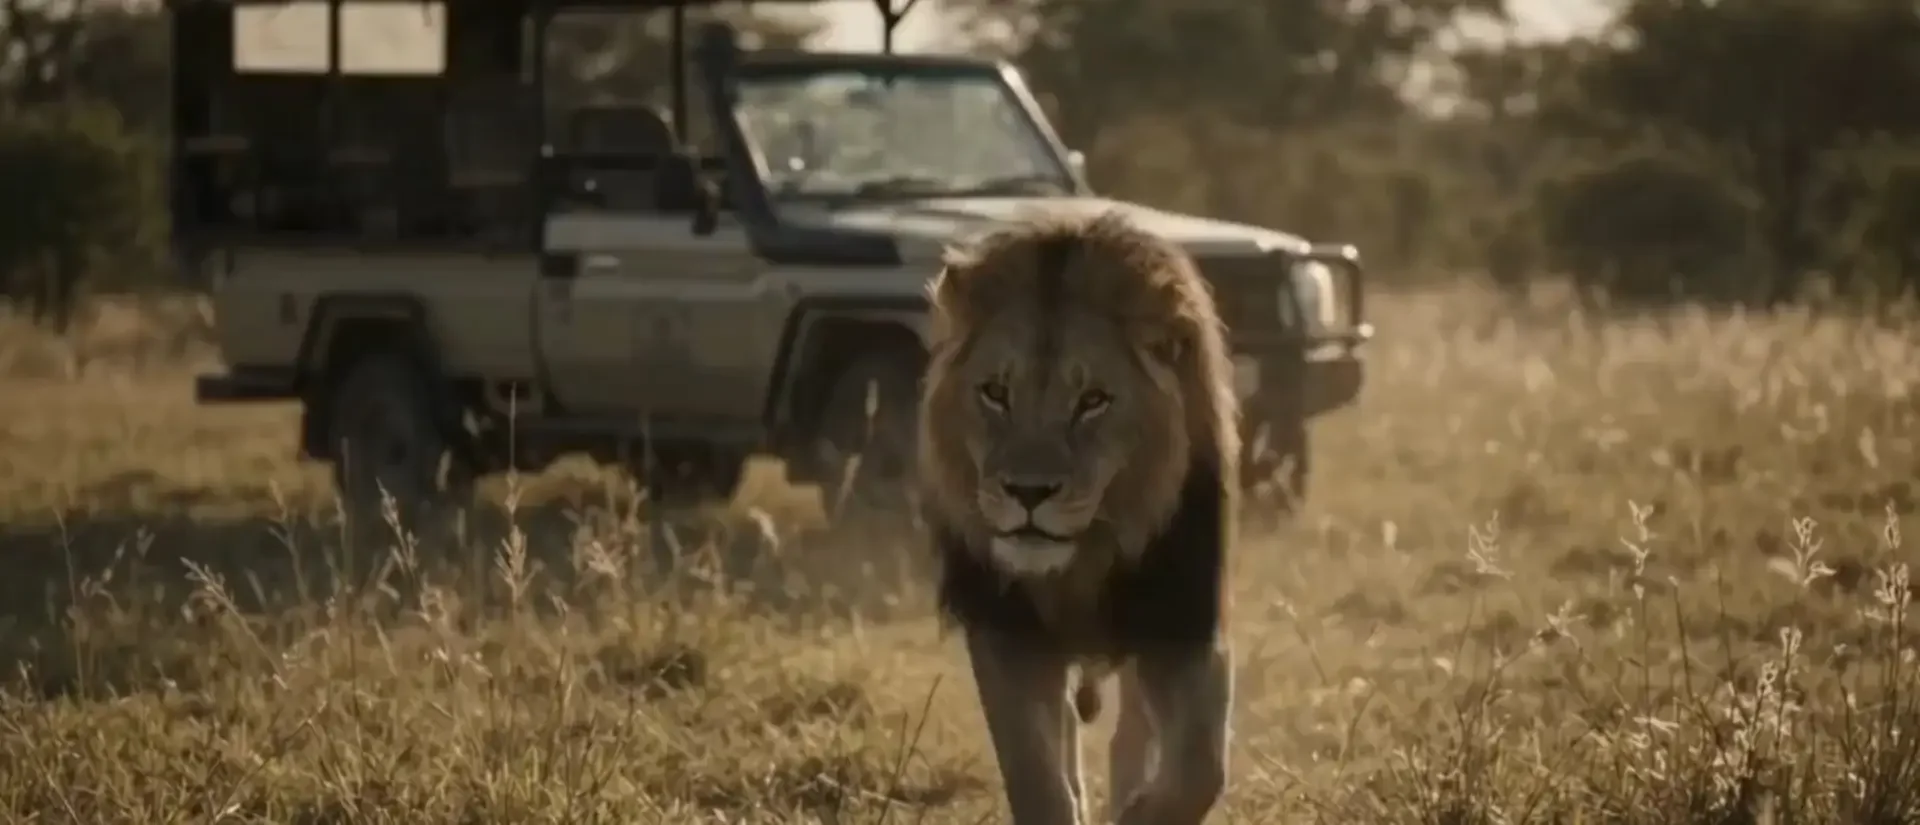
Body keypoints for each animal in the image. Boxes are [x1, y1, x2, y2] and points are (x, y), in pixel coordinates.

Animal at [916, 208, 1240, 825]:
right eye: (995, 393)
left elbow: (1201, 768)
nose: (1028, 491)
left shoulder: (1180, 621)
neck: (1080, 563)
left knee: (1131, 735)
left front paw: (1138, 813)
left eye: (1093, 401)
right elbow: (1035, 774)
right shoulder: (1007, 632)